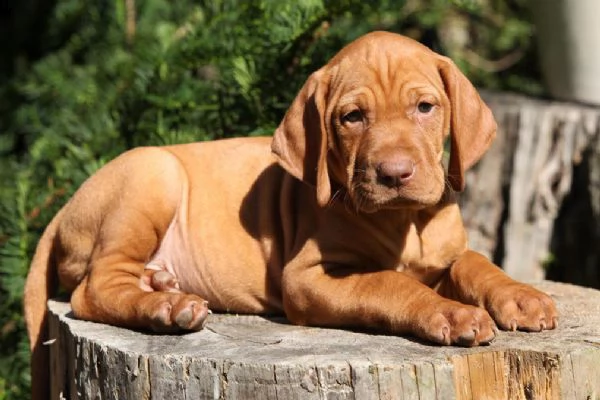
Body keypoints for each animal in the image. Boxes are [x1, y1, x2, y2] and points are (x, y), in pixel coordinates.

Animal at [23, 28, 556, 396]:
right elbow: (391, 283)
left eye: (425, 107)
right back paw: (165, 308)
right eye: (352, 117)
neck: (405, 222)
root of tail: (64, 207)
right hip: (153, 173)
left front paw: (521, 296)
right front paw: (449, 312)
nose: (394, 173)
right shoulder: (307, 278)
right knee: (94, 288)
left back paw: (161, 286)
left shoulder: (445, 255)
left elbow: (476, 263)